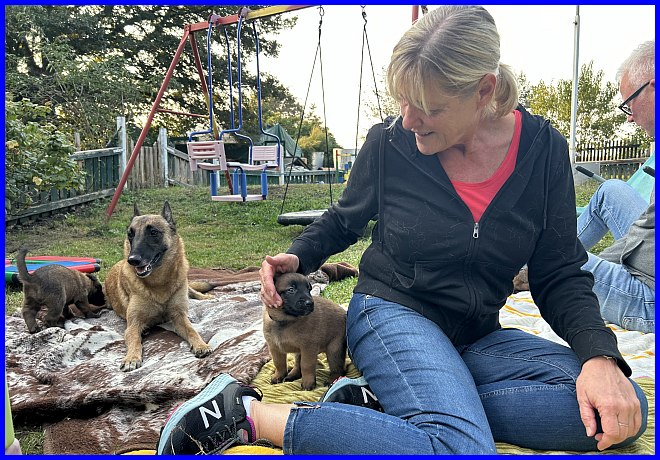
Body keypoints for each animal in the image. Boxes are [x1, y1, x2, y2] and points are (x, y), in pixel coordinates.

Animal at [104, 201, 212, 372]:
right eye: (130, 234)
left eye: (153, 232)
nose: (132, 260)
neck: (158, 283)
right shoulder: (133, 324)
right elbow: (134, 339)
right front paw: (131, 357)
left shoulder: (179, 315)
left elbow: (191, 330)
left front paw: (200, 345)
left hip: (184, 282)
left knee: (193, 290)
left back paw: (207, 297)